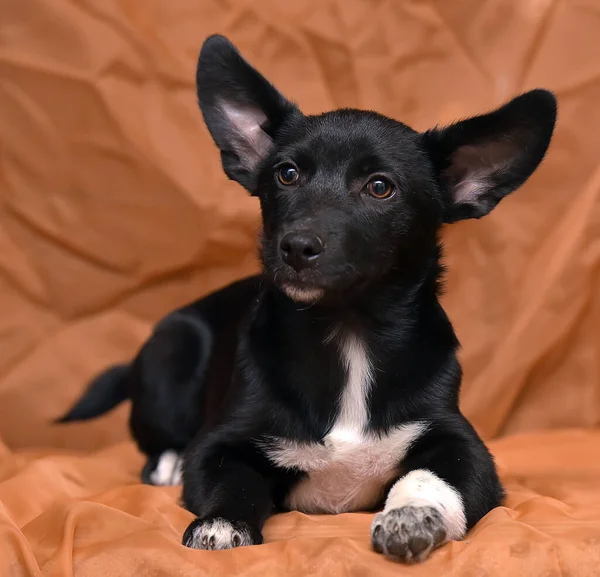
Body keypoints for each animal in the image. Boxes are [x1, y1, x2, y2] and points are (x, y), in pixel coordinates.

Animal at [57, 35, 556, 564]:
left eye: (380, 187)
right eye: (287, 174)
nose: (295, 247)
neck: (347, 333)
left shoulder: (465, 446)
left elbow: (432, 476)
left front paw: (411, 516)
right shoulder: (219, 444)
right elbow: (233, 481)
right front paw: (220, 524)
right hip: (172, 351)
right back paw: (167, 463)